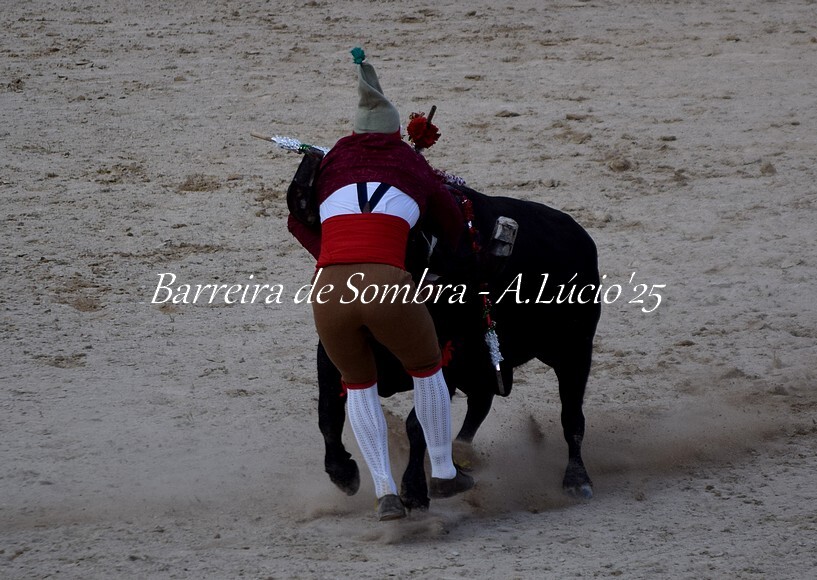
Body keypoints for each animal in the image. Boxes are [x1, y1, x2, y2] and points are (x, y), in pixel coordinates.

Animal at [315, 183, 601, 511]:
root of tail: (580, 237)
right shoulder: (331, 360)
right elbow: (328, 415)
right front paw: (343, 473)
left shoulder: (444, 364)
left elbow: (417, 424)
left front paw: (414, 490)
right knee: (480, 404)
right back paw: (462, 453)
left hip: (574, 352)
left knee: (572, 416)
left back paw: (577, 480)